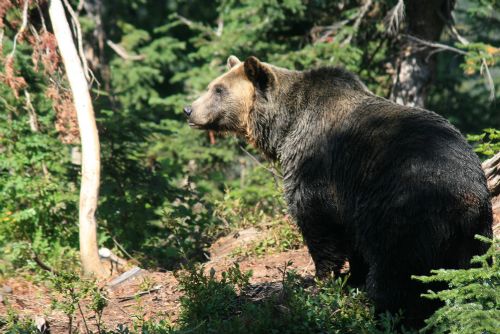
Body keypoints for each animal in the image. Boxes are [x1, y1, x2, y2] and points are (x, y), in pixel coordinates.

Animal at [184, 56, 492, 324]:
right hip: (474, 235)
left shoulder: (317, 167)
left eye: (218, 89)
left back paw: (385, 310)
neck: (284, 125)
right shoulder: (349, 196)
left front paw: (322, 279)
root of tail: (467, 197)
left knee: (396, 269)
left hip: (406, 211)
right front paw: (352, 277)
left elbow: (318, 221)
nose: (188, 109)